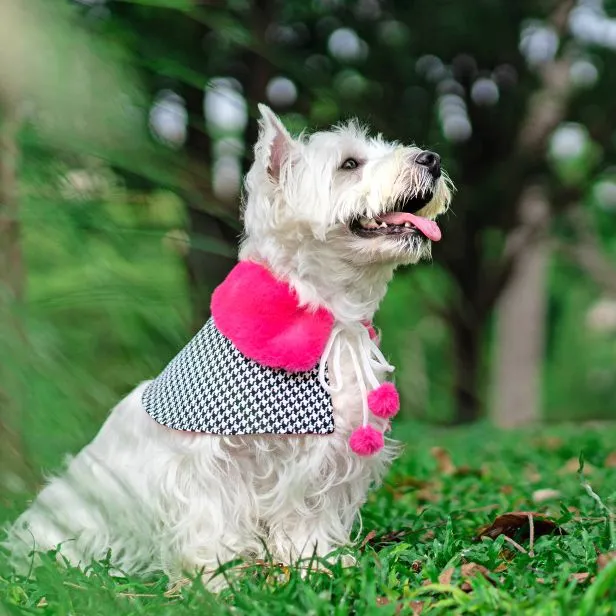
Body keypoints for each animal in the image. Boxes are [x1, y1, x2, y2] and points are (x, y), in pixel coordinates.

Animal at [4, 104, 452, 588]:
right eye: (349, 164)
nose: (432, 158)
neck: (324, 318)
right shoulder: (206, 462)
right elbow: (212, 519)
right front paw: (215, 578)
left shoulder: (323, 460)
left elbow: (307, 514)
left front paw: (316, 560)